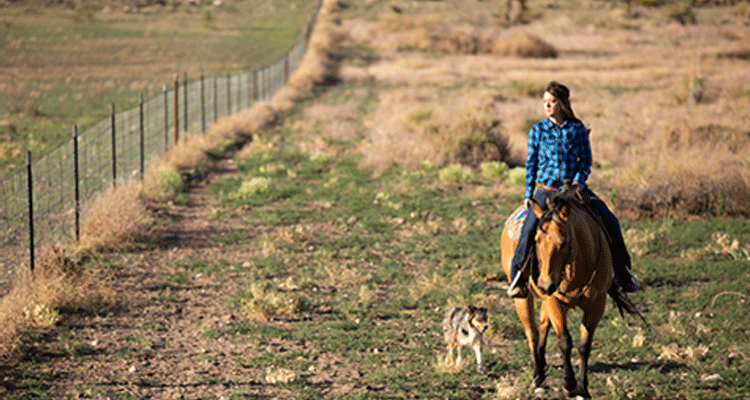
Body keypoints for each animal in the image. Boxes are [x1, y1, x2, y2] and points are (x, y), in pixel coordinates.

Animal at [506, 192, 640, 398]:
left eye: (563, 243)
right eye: (536, 240)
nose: (545, 285)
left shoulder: (596, 305)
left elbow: (584, 345)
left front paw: (582, 388)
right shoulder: (555, 301)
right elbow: (565, 341)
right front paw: (568, 384)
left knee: (543, 326)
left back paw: (542, 368)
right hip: (524, 298)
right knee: (532, 333)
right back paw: (537, 376)